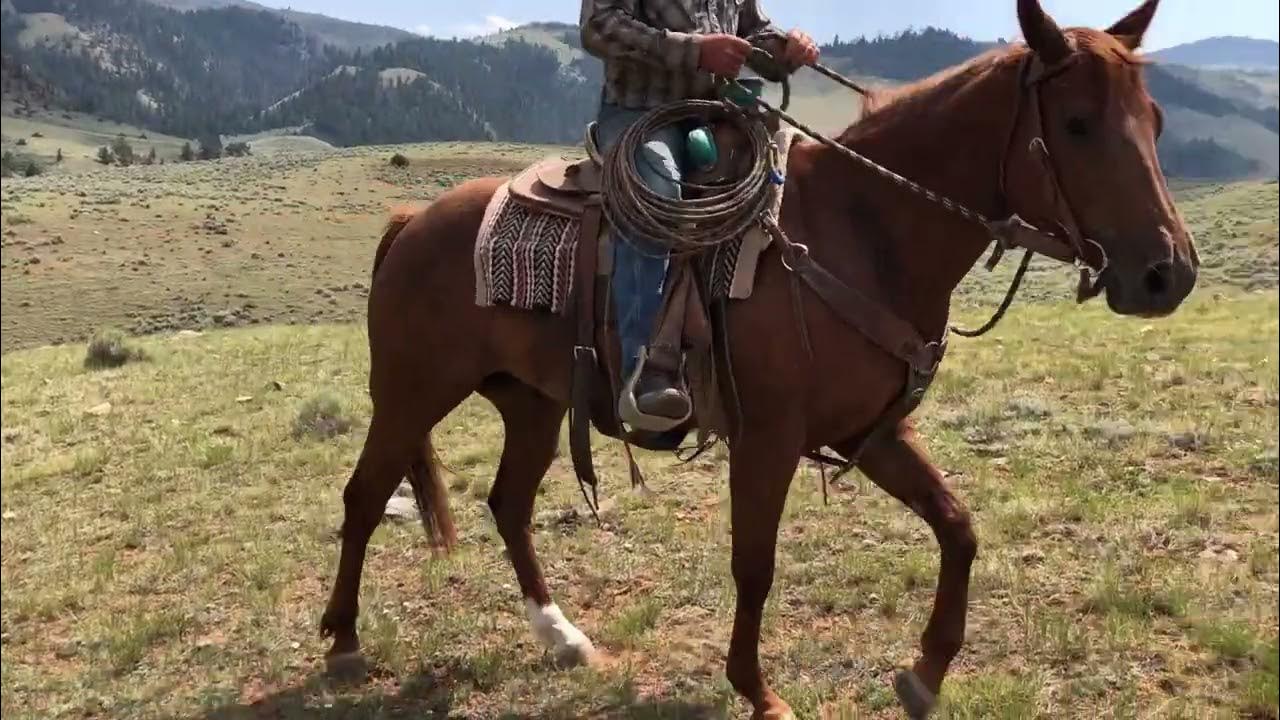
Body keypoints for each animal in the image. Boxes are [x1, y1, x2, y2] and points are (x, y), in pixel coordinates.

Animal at [319, 0, 1198, 717]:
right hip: (411, 391)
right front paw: (758, 691)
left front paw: (924, 675)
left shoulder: (872, 432)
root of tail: (413, 219)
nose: (1169, 274)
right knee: (364, 496)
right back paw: (345, 643)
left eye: (1154, 120)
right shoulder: (768, 438)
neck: (862, 230)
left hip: (531, 401)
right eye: (1077, 123)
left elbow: (958, 527)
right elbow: (755, 564)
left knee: (507, 504)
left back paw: (562, 636)